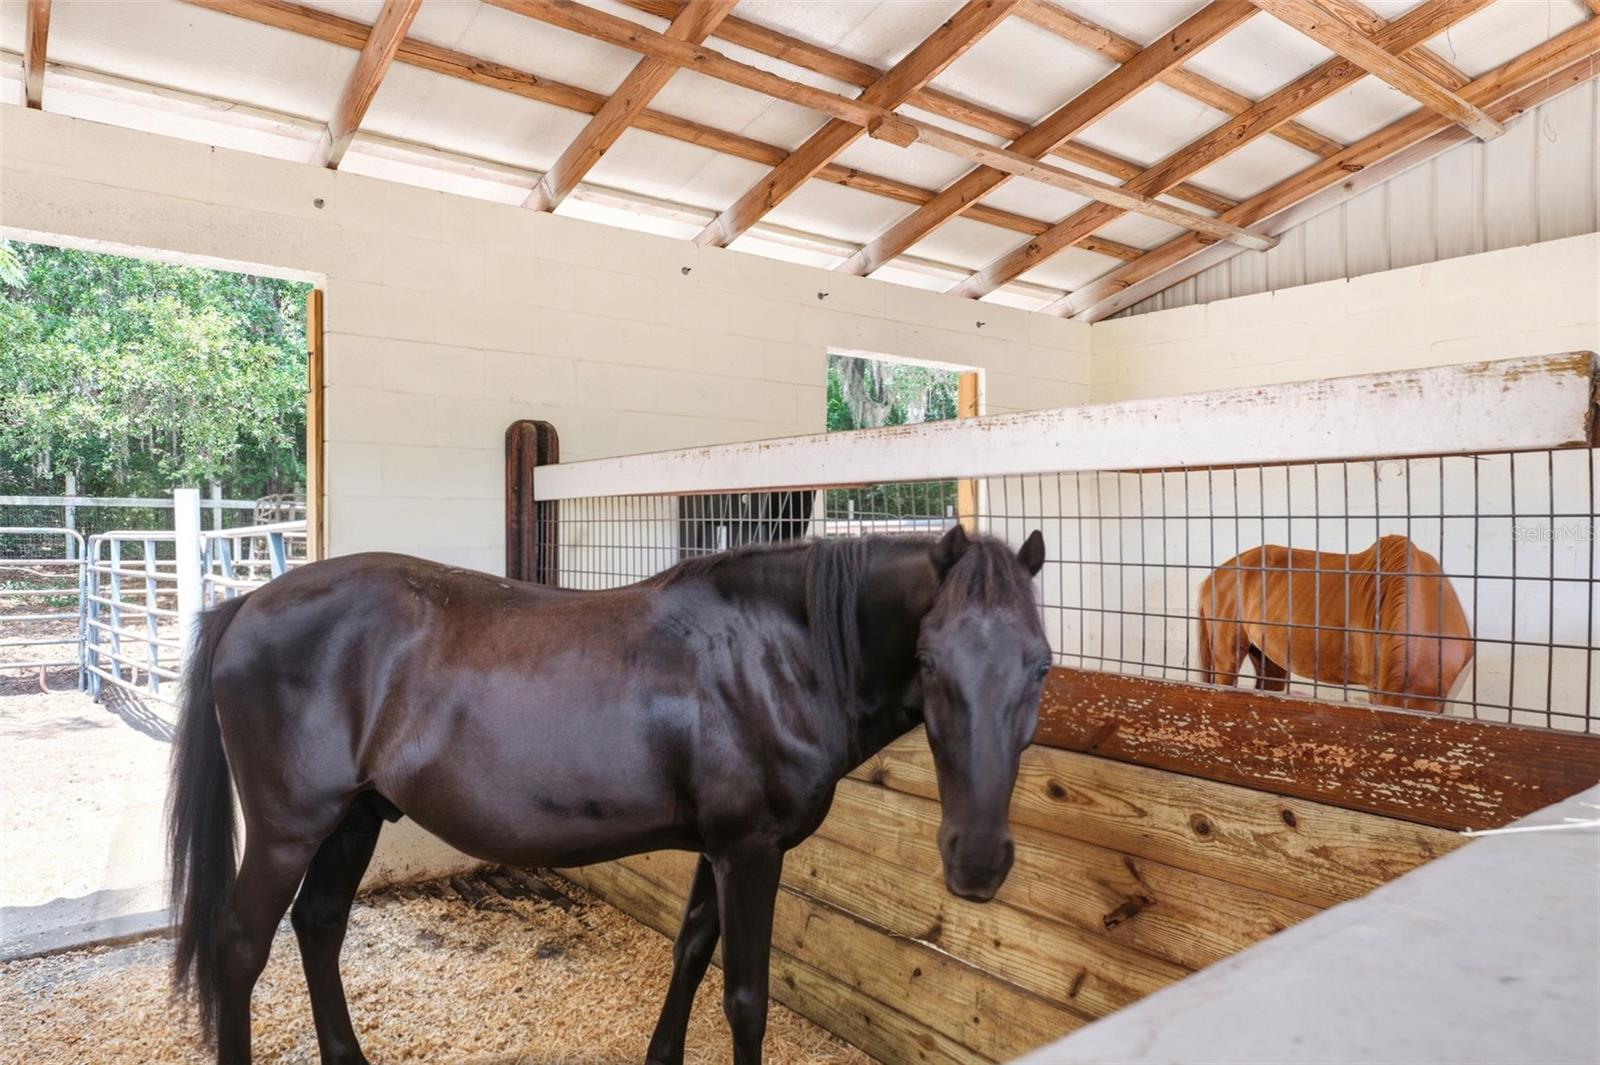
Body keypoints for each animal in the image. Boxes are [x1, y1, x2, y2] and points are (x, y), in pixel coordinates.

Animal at [168, 525, 1050, 1065]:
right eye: (930, 659)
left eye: (1040, 663)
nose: (977, 860)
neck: (777, 653)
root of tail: (246, 603)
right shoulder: (750, 851)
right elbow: (746, 998)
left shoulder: (720, 848)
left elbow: (690, 952)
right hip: (290, 828)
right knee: (241, 947)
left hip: (354, 817)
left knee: (319, 926)